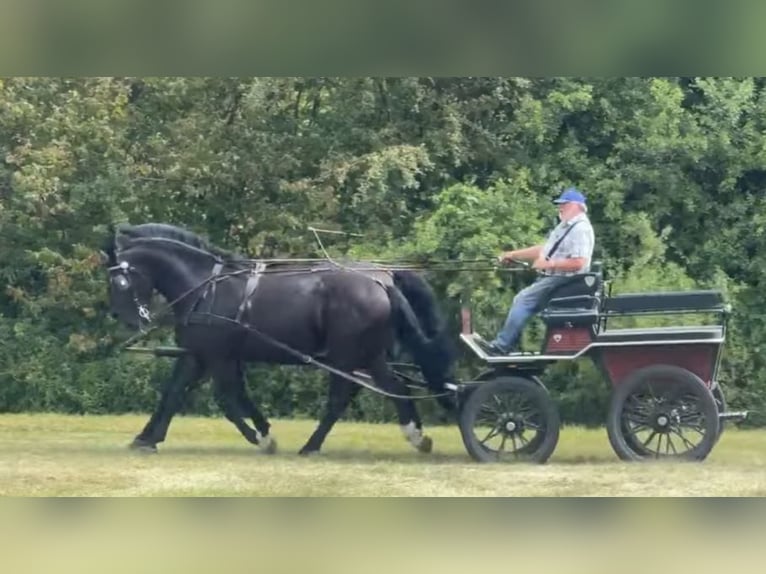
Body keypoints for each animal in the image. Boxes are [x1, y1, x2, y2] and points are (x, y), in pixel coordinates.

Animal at [100, 223, 457, 456]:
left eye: (118, 281)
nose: (127, 319)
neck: (204, 287)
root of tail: (383, 277)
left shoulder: (218, 357)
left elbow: (228, 400)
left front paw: (261, 437)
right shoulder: (199, 354)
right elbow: (173, 394)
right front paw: (147, 438)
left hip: (349, 355)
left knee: (351, 396)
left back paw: (314, 445)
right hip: (367, 354)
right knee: (390, 388)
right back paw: (414, 436)